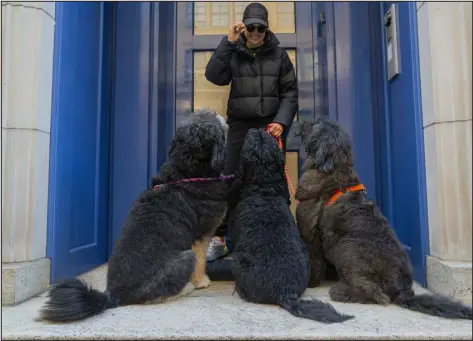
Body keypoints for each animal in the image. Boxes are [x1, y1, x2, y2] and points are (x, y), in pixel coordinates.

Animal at [39, 109, 229, 322]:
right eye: (210, 117)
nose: (218, 113)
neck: (188, 172)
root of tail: (113, 295)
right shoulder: (202, 235)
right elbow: (201, 260)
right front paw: (202, 281)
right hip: (185, 258)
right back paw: (185, 288)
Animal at [227, 127, 352, 322]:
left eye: (252, 139)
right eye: (266, 138)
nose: (259, 128)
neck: (264, 190)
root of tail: (285, 291)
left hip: (238, 263)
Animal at [296, 117, 470, 318]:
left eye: (315, 123)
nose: (302, 121)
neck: (334, 172)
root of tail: (403, 291)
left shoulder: (308, 231)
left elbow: (313, 260)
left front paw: (311, 283)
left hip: (348, 248)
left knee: (375, 293)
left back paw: (341, 291)